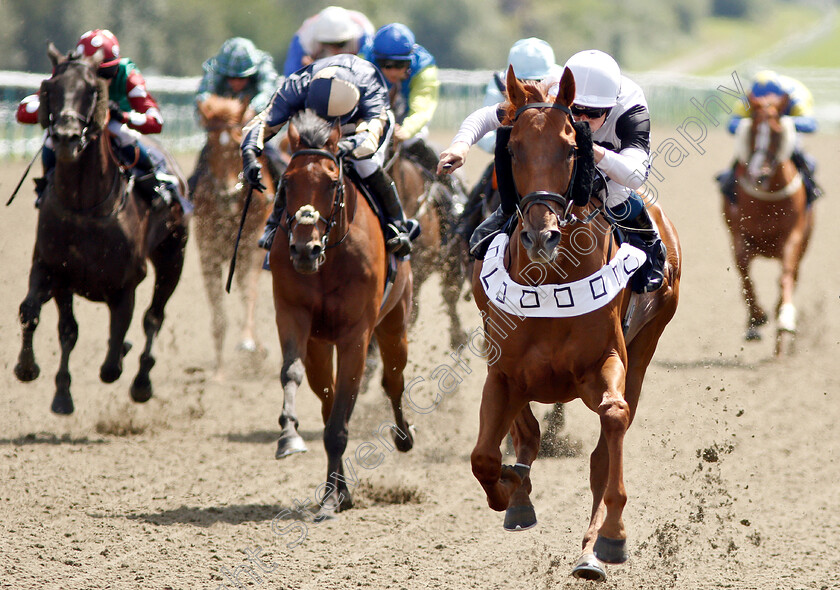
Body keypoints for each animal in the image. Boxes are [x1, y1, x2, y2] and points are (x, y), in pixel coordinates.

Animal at [13, 44, 188, 416]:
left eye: (92, 90)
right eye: (50, 87)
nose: (65, 138)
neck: (84, 207)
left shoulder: (125, 284)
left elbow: (112, 360)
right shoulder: (53, 269)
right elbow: (43, 317)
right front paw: (38, 375)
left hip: (172, 256)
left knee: (154, 317)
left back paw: (142, 381)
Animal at [191, 94, 278, 376]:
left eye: (236, 145)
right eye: (209, 146)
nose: (226, 195)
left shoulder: (252, 249)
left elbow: (248, 293)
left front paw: (248, 343)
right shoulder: (207, 253)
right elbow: (218, 312)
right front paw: (218, 372)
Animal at [268, 111, 416, 524]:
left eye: (333, 182)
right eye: (287, 181)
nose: (304, 249)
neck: (329, 259)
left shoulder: (356, 335)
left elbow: (340, 424)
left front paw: (332, 501)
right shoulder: (294, 317)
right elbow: (293, 375)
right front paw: (288, 436)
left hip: (395, 324)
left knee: (393, 380)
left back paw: (404, 436)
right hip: (321, 345)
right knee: (328, 398)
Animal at [470, 68, 680, 584]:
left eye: (569, 148)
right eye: (512, 148)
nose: (540, 235)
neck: (551, 283)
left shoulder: (606, 363)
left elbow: (613, 425)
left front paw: (612, 536)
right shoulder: (503, 372)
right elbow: (486, 455)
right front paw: (512, 492)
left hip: (645, 347)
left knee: (605, 448)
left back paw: (594, 549)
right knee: (526, 436)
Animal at [724, 92, 812, 352]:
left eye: (776, 131)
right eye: (754, 129)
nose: (759, 174)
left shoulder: (793, 235)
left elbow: (785, 275)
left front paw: (785, 319)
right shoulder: (739, 234)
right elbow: (744, 273)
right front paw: (756, 318)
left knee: (792, 276)